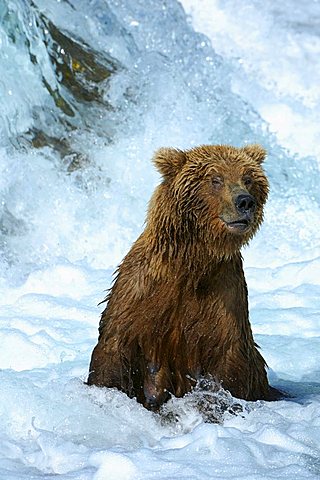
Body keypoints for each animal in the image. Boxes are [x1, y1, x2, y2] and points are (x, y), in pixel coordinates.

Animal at [88, 142, 280, 408]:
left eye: (248, 178)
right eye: (215, 179)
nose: (245, 201)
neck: (192, 264)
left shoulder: (223, 299)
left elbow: (229, 361)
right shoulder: (140, 292)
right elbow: (114, 350)